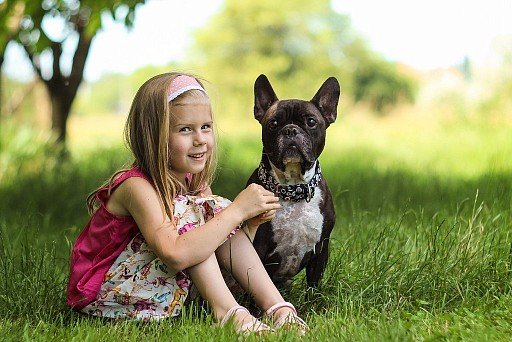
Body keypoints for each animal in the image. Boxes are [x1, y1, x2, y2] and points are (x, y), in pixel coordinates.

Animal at [248, 75, 340, 288]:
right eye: (273, 123)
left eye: (311, 122)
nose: (290, 130)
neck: (293, 187)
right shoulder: (257, 246)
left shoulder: (321, 249)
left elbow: (313, 285)